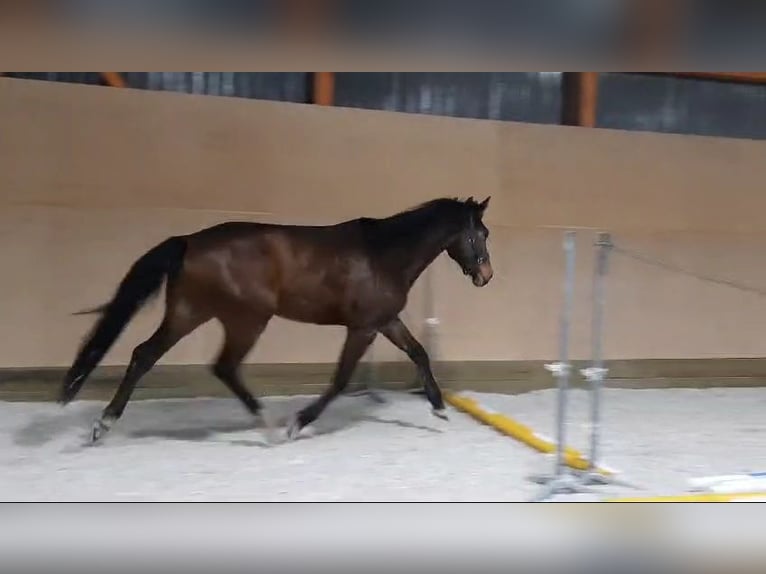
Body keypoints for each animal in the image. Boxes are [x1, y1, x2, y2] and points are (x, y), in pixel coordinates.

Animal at [57, 196, 496, 444]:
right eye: (482, 233)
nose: (486, 276)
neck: (383, 254)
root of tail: (189, 242)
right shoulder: (364, 327)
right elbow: (340, 380)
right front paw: (298, 423)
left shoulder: (385, 321)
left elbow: (419, 353)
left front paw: (439, 409)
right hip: (246, 319)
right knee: (223, 366)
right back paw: (268, 425)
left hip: (190, 313)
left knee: (144, 355)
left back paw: (103, 425)